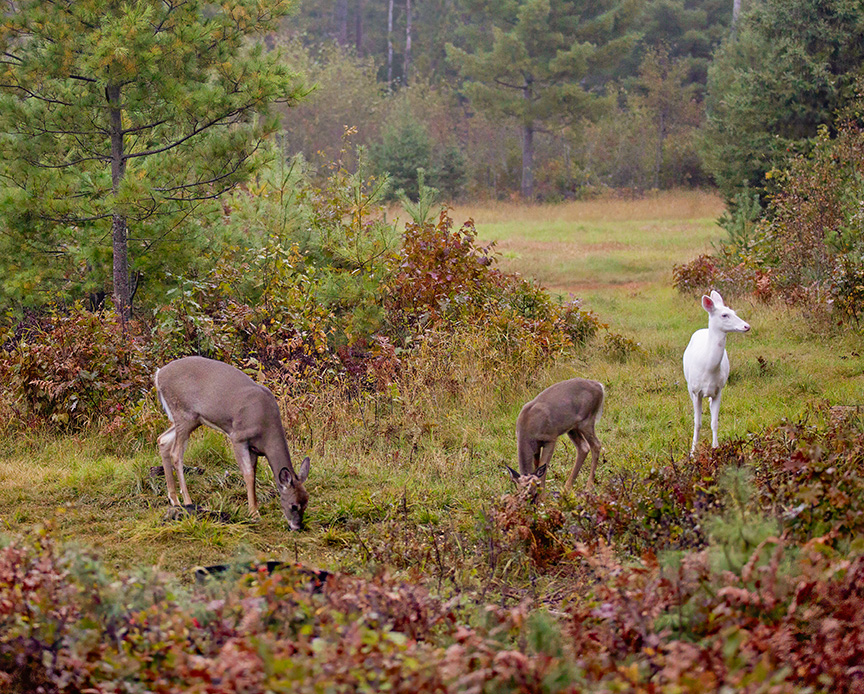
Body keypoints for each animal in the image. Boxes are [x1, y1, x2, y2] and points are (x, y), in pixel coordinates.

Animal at [154, 356, 311, 531]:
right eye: (293, 505)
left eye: (306, 503)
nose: (297, 527)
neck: (266, 431)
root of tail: (159, 374)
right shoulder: (238, 437)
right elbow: (248, 474)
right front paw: (254, 514)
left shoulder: (254, 449)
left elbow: (253, 473)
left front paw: (254, 509)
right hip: (184, 414)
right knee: (176, 453)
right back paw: (188, 502)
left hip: (192, 420)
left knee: (162, 440)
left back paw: (174, 500)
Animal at [683, 290, 750, 454]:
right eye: (724, 315)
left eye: (734, 312)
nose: (746, 326)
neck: (708, 368)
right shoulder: (695, 391)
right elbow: (697, 423)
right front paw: (692, 452)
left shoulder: (719, 389)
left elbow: (714, 422)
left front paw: (716, 448)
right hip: (689, 386)